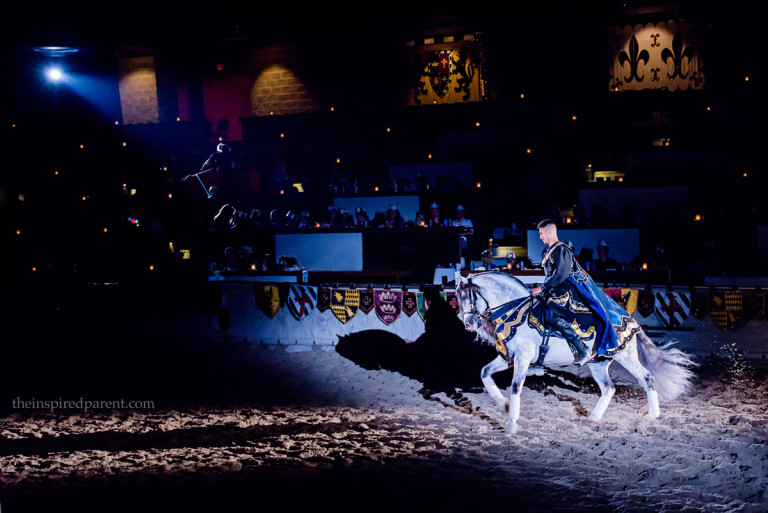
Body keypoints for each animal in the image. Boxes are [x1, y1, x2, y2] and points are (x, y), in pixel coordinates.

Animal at [456, 272, 696, 432]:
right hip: (598, 364)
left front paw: (511, 423)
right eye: (457, 299)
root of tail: (627, 319)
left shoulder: (523, 359)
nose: (468, 324)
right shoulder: (508, 358)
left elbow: (515, 387)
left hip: (625, 356)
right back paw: (593, 418)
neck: (517, 312)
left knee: (647, 377)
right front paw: (504, 405)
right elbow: (484, 373)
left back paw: (652, 415)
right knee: (609, 389)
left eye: (470, 296)